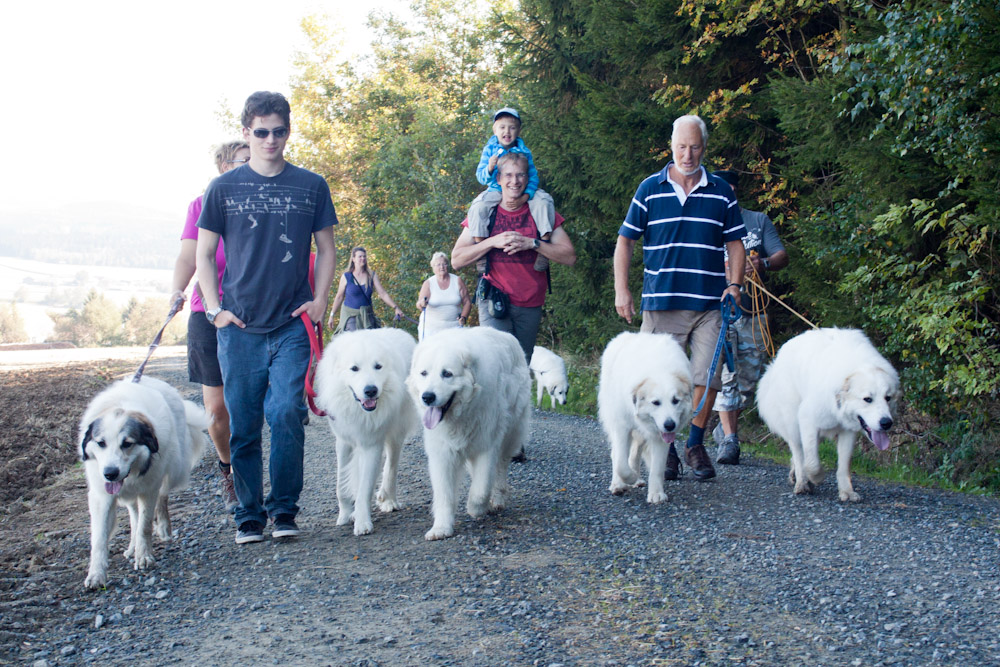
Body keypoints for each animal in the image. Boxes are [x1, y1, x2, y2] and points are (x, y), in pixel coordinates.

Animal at [78, 376, 207, 588]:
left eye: (127, 443)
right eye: (101, 443)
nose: (110, 473)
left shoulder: (149, 488)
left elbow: (145, 526)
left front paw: (144, 556)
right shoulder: (101, 496)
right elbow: (99, 538)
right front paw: (96, 574)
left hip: (174, 468)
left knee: (163, 496)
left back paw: (163, 528)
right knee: (134, 513)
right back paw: (132, 547)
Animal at [314, 328, 420, 536]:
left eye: (378, 366)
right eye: (354, 368)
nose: (370, 390)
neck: (359, 410)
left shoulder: (372, 445)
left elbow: (365, 489)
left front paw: (362, 522)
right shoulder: (343, 443)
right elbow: (341, 486)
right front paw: (345, 516)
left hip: (396, 433)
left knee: (391, 466)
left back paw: (389, 499)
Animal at [406, 328, 532, 544]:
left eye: (447, 374)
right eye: (424, 373)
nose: (427, 397)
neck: (459, 415)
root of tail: (506, 335)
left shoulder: (487, 446)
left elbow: (481, 488)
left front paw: (476, 508)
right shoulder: (442, 454)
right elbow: (444, 493)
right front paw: (441, 528)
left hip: (509, 436)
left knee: (499, 470)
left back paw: (497, 499)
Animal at [596, 332, 692, 504]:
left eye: (675, 400)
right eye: (656, 402)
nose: (669, 425)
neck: (660, 369)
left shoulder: (659, 436)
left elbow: (657, 468)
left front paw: (656, 494)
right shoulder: (622, 427)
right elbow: (621, 464)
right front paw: (628, 478)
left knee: (635, 453)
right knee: (616, 454)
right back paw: (618, 484)